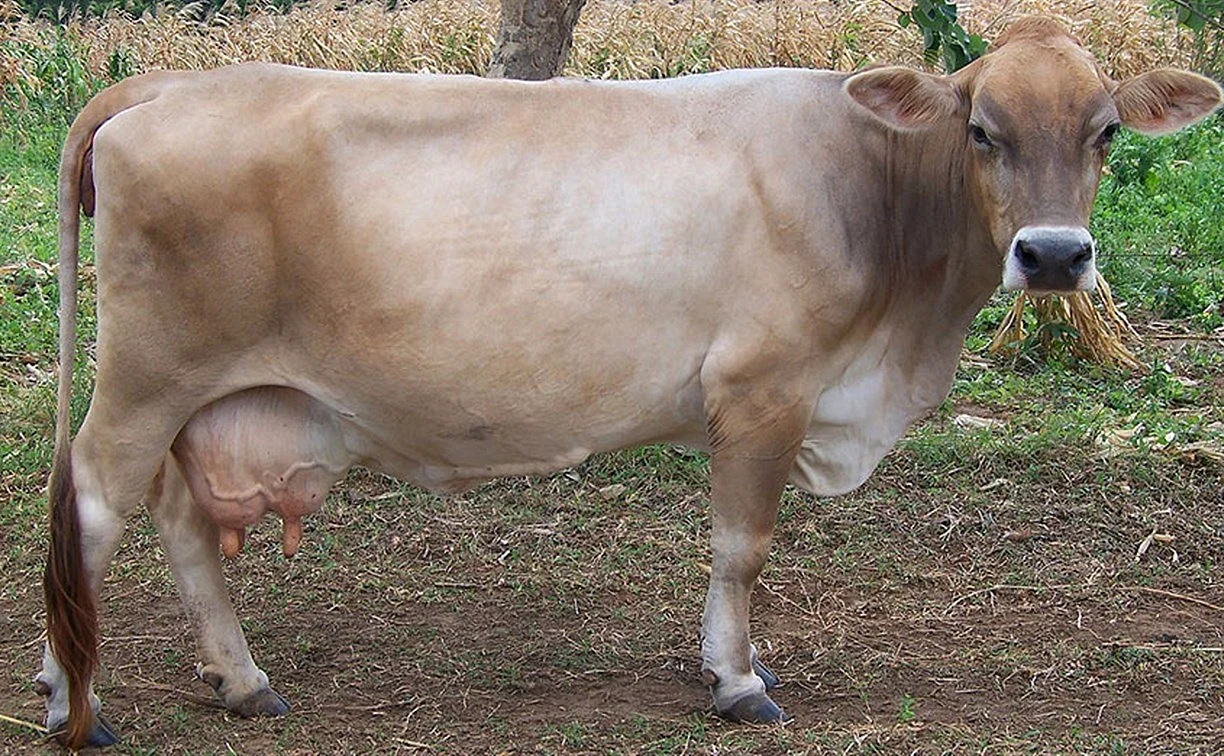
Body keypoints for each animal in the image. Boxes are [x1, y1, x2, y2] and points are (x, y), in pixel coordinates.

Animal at [36, 17, 1221, 748]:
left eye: (1105, 131)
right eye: (982, 130)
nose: (1055, 256)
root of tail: (166, 86)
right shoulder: (764, 389)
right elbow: (742, 548)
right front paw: (739, 682)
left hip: (203, 398)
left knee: (182, 523)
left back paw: (239, 680)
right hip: (146, 378)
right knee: (92, 504)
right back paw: (70, 698)